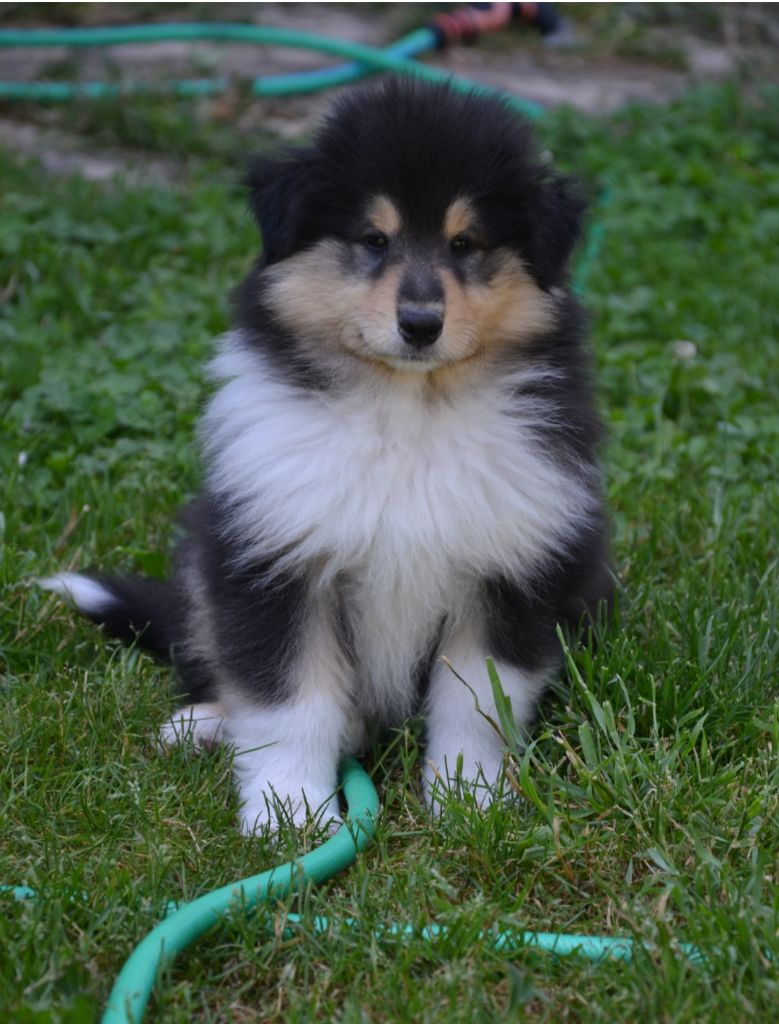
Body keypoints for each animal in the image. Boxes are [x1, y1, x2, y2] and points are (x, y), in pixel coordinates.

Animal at [42, 78, 611, 834]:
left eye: (466, 243)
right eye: (373, 239)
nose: (420, 324)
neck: (407, 411)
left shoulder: (509, 568)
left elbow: (476, 702)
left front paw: (469, 801)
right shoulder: (279, 559)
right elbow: (290, 704)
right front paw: (290, 814)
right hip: (206, 560)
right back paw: (200, 726)